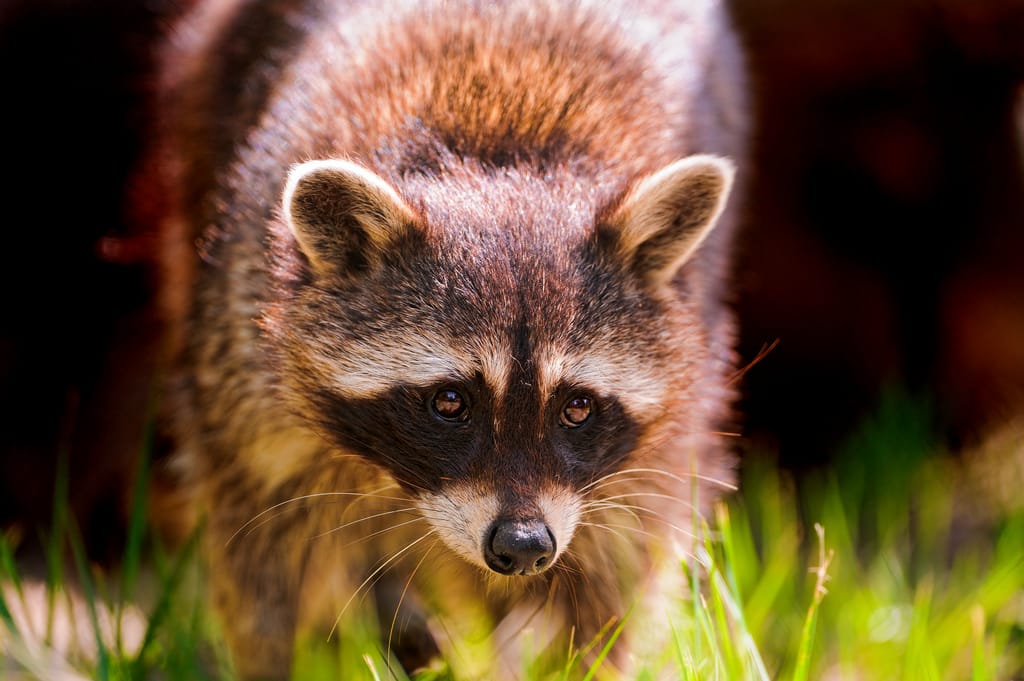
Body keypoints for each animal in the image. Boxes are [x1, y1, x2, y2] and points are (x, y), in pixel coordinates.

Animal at [146, 0, 747, 677]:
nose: (523, 546)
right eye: (450, 401)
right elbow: (259, 560)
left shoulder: (663, 436)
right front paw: (270, 659)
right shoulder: (247, 364)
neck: (502, 157)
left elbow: (613, 572)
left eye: (578, 406)